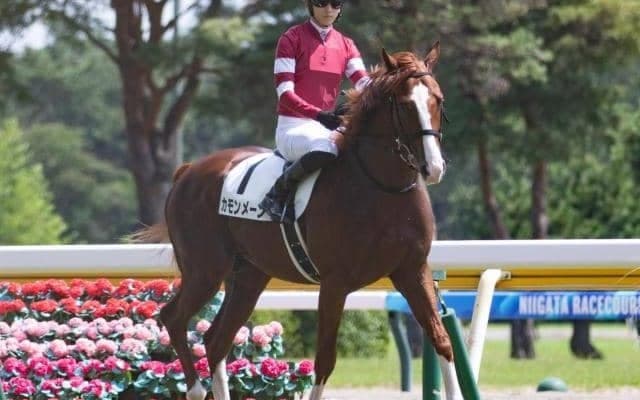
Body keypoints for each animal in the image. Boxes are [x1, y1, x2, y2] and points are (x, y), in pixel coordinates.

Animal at [139, 42, 453, 400]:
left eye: (438, 99)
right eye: (404, 104)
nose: (433, 167)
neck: (381, 187)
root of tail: (188, 170)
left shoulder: (413, 271)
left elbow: (442, 340)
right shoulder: (334, 283)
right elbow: (325, 359)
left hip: (248, 276)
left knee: (216, 339)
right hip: (204, 270)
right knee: (174, 318)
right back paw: (193, 388)